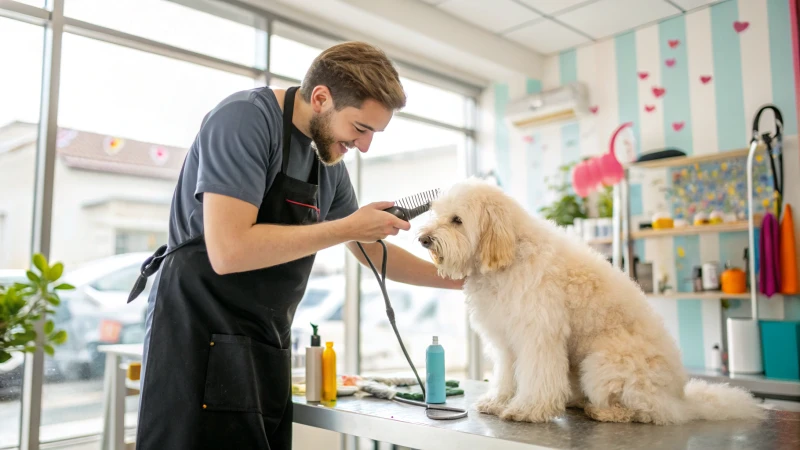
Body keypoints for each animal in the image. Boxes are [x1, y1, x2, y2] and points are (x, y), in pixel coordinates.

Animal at [416, 179, 764, 426]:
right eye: (436, 213)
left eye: (457, 219)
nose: (423, 239)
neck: (510, 253)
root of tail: (682, 400)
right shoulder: (506, 340)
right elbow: (505, 374)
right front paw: (498, 401)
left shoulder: (538, 335)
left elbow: (537, 376)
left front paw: (528, 409)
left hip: (602, 363)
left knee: (646, 411)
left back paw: (604, 412)